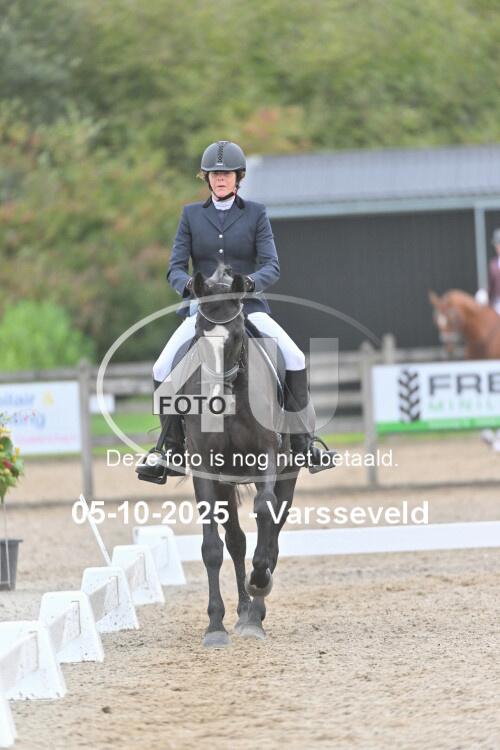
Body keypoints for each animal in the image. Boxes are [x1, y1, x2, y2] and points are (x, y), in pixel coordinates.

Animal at [170, 265, 303, 648]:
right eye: (200, 333)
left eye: (235, 335)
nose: (214, 398)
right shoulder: (206, 470)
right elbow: (213, 547)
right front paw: (215, 625)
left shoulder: (267, 457)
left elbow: (265, 515)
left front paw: (259, 583)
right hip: (226, 484)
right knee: (236, 541)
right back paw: (244, 612)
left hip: (288, 476)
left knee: (271, 538)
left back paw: (255, 612)